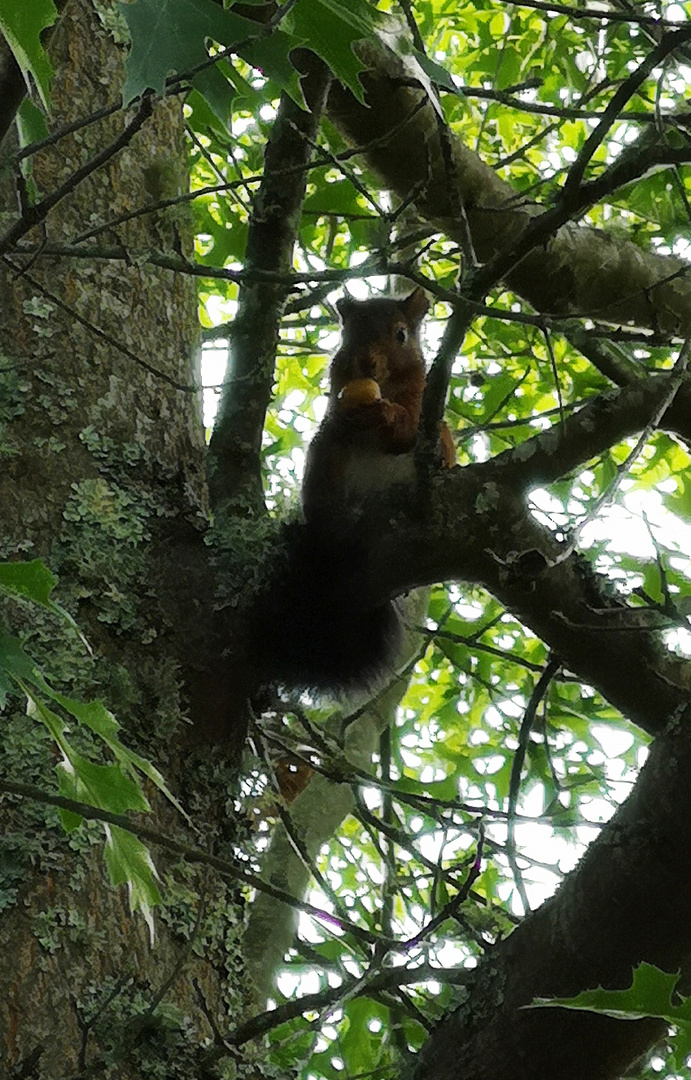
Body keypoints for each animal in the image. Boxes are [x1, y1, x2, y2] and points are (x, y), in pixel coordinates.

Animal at [250, 287, 455, 695]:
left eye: (401, 334)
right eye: (348, 333)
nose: (367, 363)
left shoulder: (423, 400)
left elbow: (407, 426)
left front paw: (385, 415)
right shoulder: (336, 397)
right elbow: (338, 414)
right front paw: (350, 415)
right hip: (324, 463)